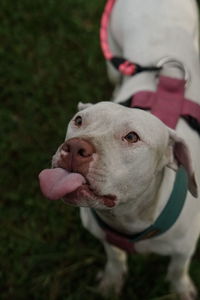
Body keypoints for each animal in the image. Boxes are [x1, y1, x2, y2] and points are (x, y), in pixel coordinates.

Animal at [39, 1, 200, 298]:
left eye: (132, 137)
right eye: (78, 120)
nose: (75, 147)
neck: (128, 217)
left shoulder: (184, 249)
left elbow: (177, 270)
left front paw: (181, 289)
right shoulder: (104, 235)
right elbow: (114, 257)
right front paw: (112, 282)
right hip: (113, 57)